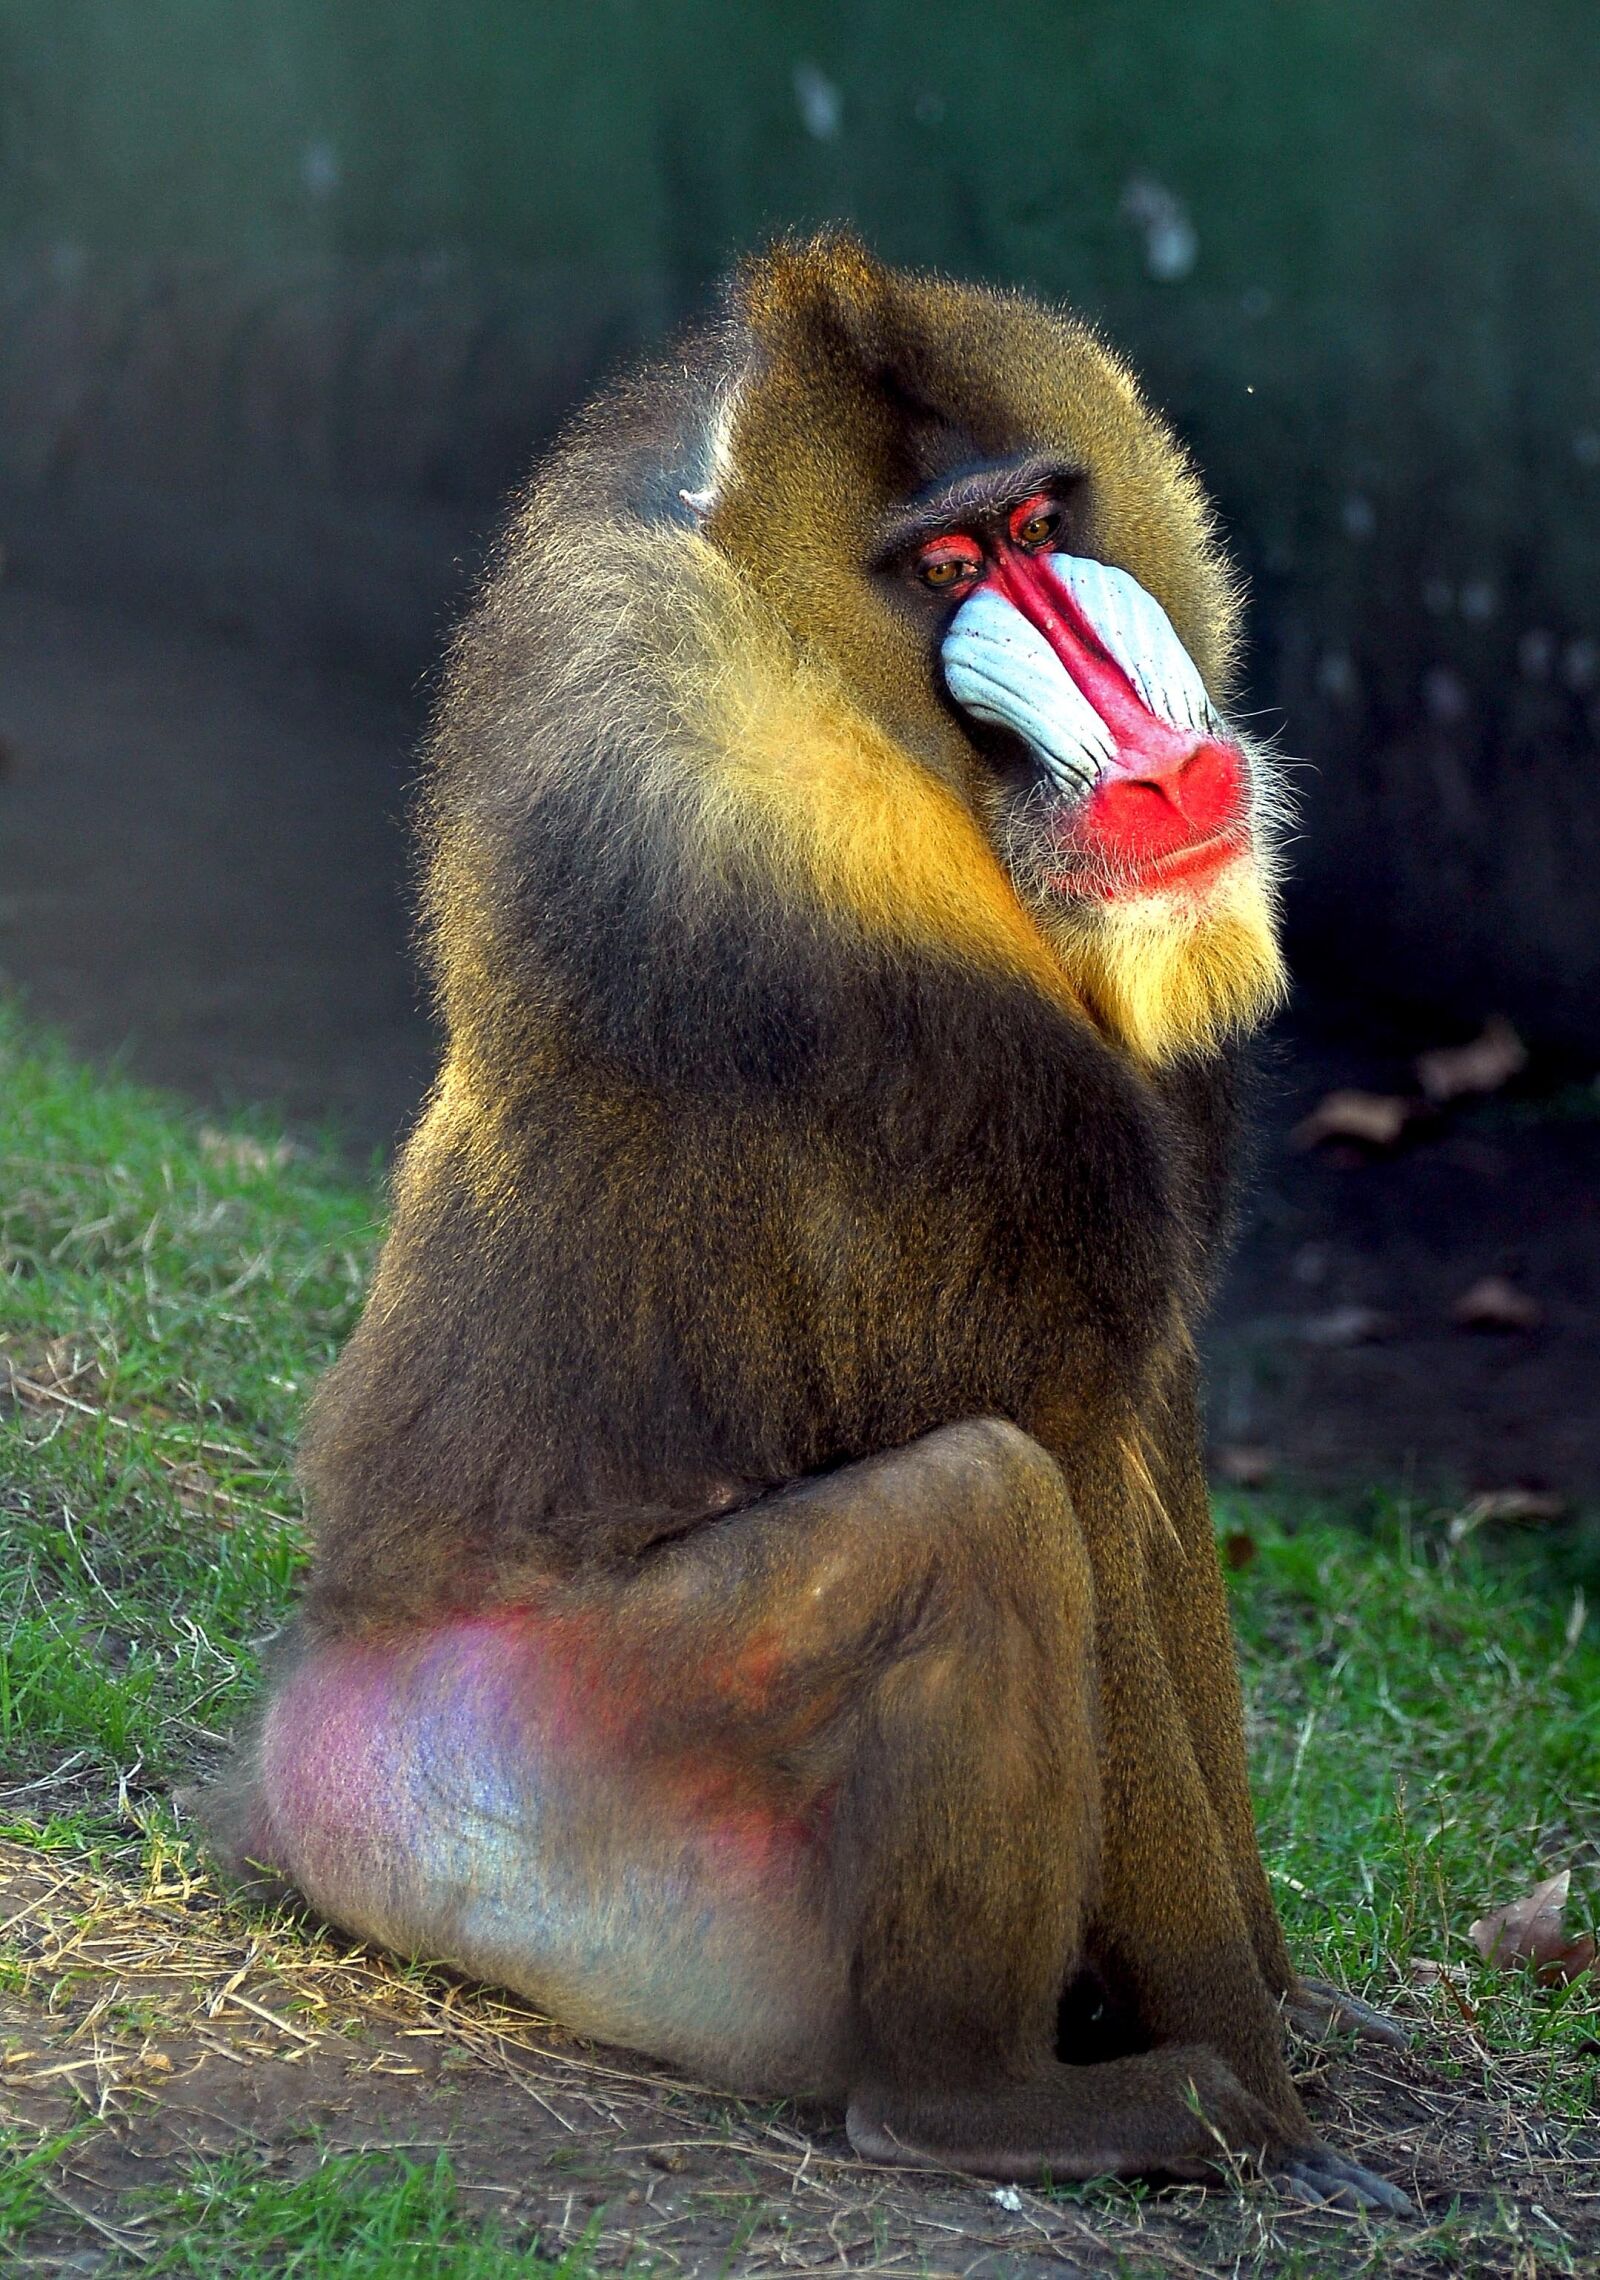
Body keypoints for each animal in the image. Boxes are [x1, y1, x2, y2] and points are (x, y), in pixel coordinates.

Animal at [203, 234, 1411, 2213]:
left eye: (1038, 521)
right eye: (948, 572)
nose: (1171, 778)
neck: (886, 744)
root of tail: (323, 1737)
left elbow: (1158, 1470)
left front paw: (1301, 2006)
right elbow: (1067, 1476)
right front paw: (1272, 2096)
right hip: (586, 1760)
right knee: (979, 1509)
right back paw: (1025, 2108)